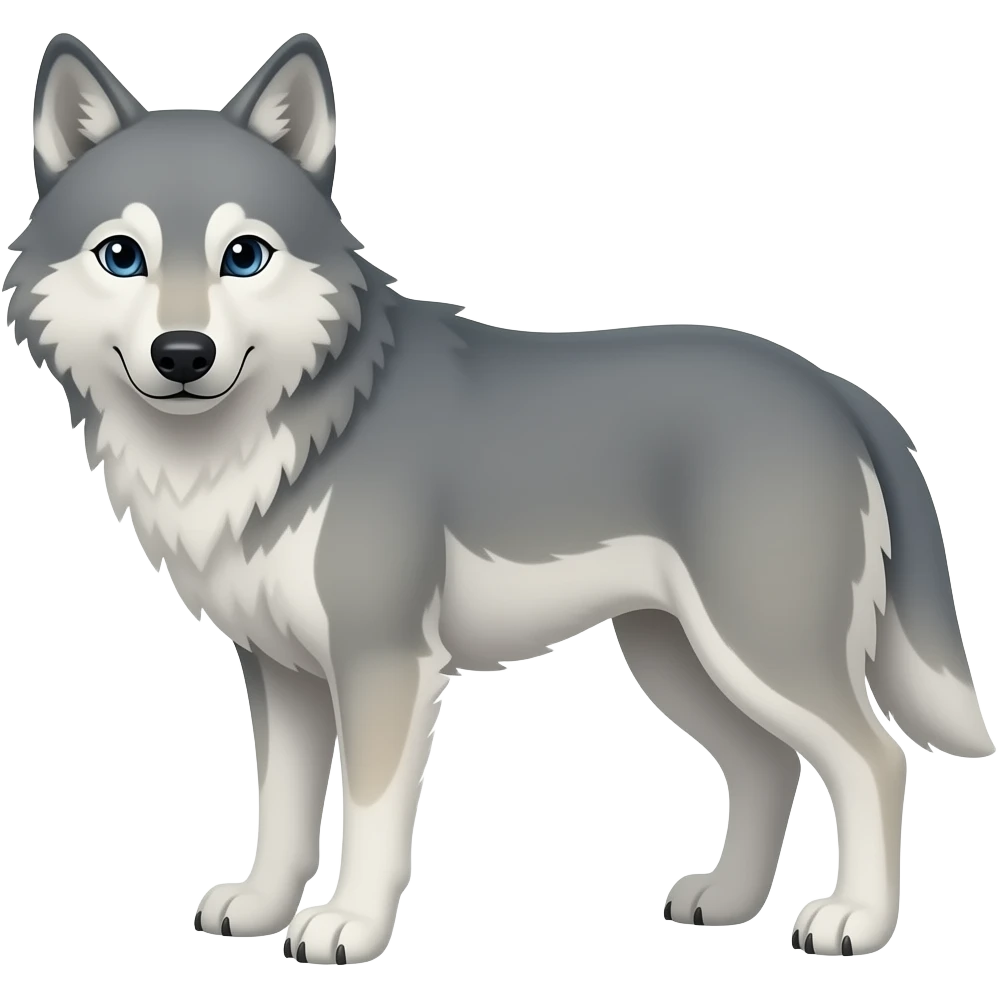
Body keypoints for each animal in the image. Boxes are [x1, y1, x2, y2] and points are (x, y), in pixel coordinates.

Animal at [4, 29, 993, 965]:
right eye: (122, 257)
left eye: (243, 257)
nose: (183, 354)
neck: (288, 433)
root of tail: (837, 388)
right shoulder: (280, 672)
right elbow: (282, 809)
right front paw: (258, 908)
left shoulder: (383, 663)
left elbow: (368, 816)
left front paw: (347, 928)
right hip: (679, 657)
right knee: (769, 765)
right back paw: (727, 901)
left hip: (758, 648)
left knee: (875, 759)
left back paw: (855, 920)